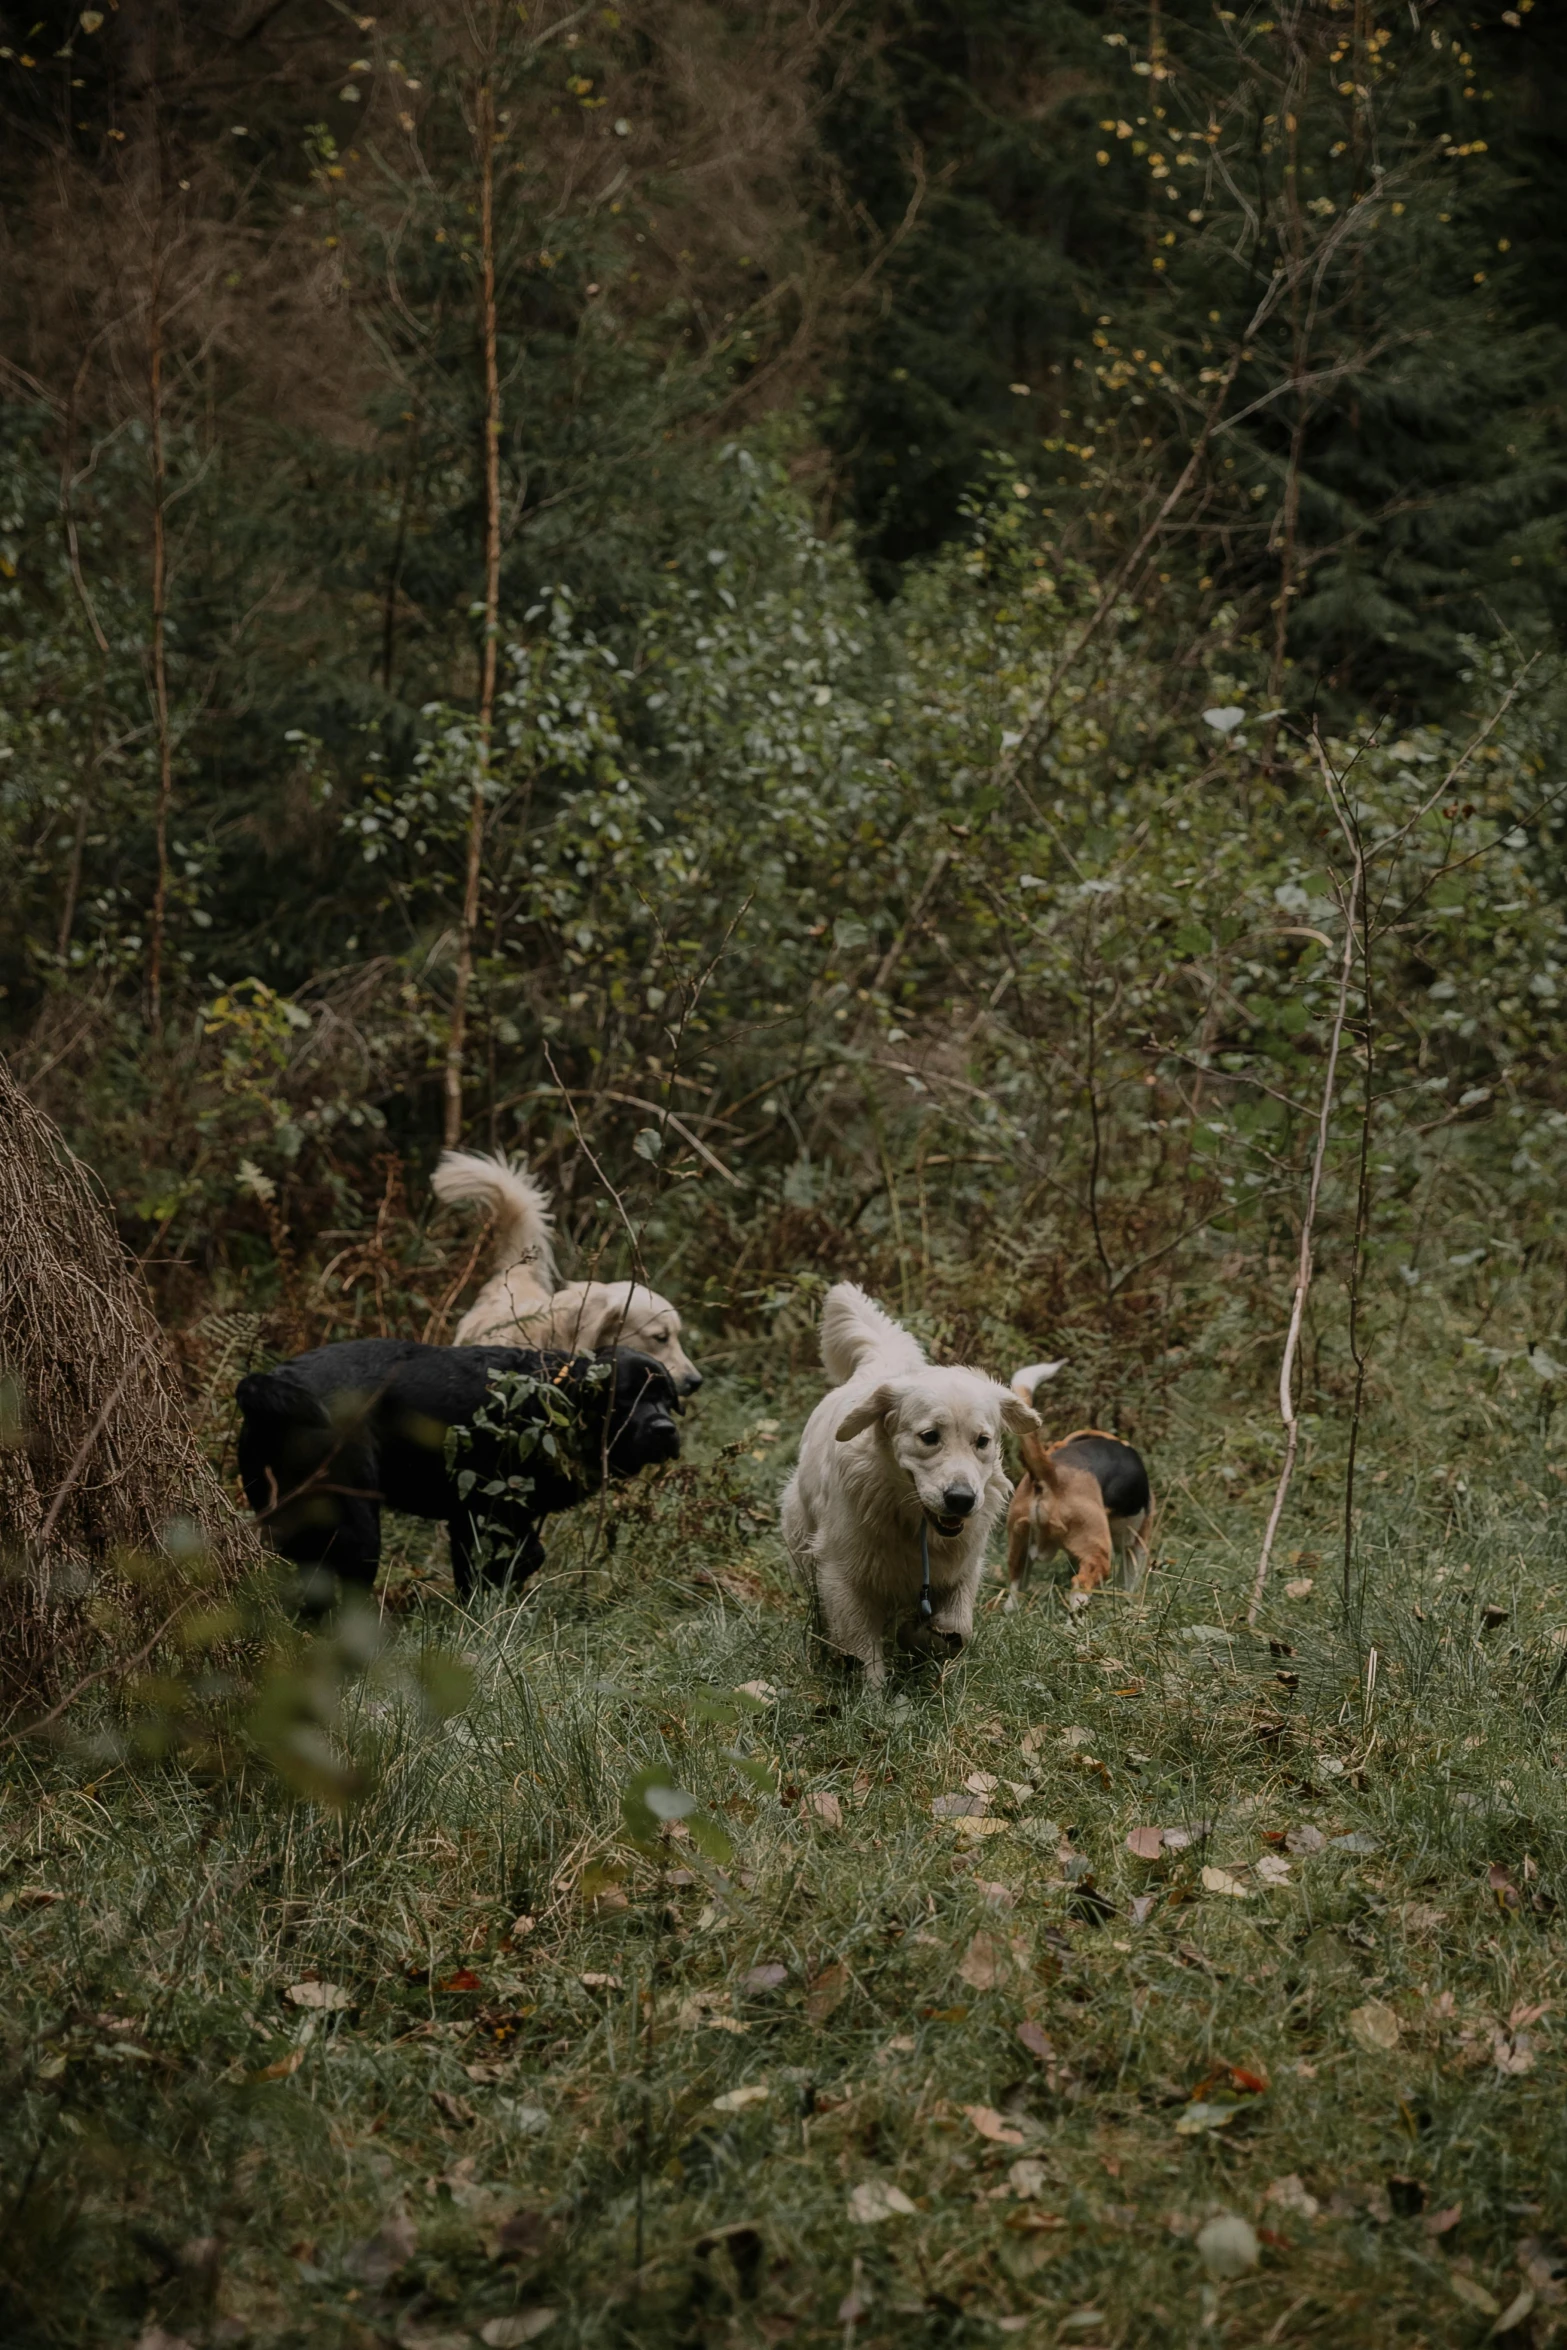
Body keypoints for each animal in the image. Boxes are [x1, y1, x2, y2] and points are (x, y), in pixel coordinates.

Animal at [236, 1353, 676, 1607]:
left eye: (668, 1399)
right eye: (625, 1398)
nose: (666, 1429)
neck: (553, 1397)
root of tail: (268, 1382)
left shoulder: (484, 1514)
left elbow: (514, 1560)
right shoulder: (480, 1508)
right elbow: (502, 1563)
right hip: (357, 1530)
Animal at [779, 1287, 1033, 1691]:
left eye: (982, 1441)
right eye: (929, 1436)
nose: (961, 1500)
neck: (913, 1520)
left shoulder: (963, 1568)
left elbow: (956, 1627)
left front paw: (922, 1639)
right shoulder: (843, 1575)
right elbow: (862, 1650)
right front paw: (872, 1698)